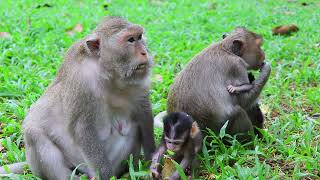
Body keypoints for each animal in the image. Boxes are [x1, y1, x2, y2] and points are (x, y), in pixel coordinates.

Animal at [0, 16, 155, 179]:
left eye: (139, 37)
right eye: (130, 40)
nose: (145, 52)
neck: (107, 73)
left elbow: (144, 113)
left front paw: (153, 159)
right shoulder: (81, 79)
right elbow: (83, 128)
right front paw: (106, 175)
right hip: (80, 163)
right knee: (33, 133)